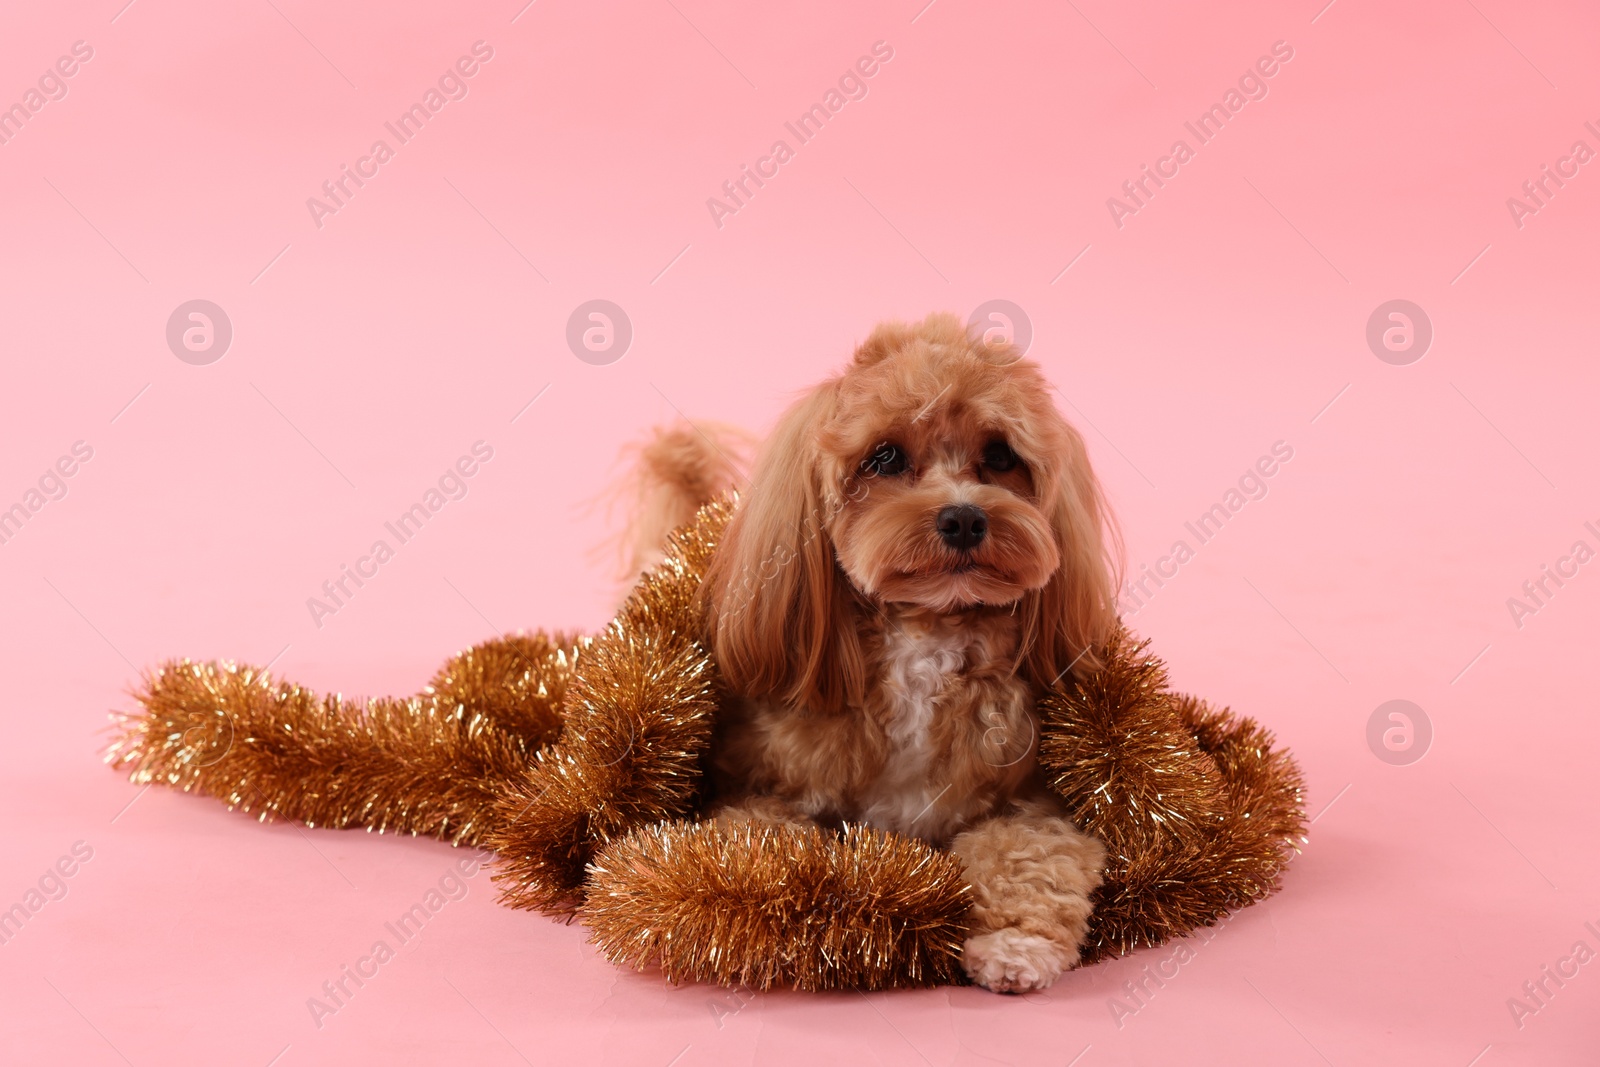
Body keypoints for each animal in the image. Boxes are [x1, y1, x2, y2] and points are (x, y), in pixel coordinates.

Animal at [617, 315, 1120, 991]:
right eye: (884, 457)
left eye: (1000, 456)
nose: (964, 518)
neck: (926, 634)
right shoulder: (757, 791)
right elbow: (759, 843)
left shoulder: (1034, 800)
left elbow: (1031, 852)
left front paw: (1015, 944)